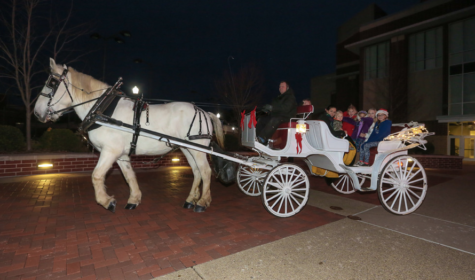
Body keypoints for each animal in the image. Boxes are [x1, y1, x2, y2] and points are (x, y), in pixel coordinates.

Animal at [34, 58, 224, 212]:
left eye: (52, 82)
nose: (36, 112)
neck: (101, 110)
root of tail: (204, 112)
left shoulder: (110, 151)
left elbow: (96, 175)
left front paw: (107, 202)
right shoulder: (121, 154)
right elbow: (129, 175)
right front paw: (134, 199)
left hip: (198, 149)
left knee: (206, 171)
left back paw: (202, 202)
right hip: (187, 148)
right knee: (197, 171)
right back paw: (190, 200)